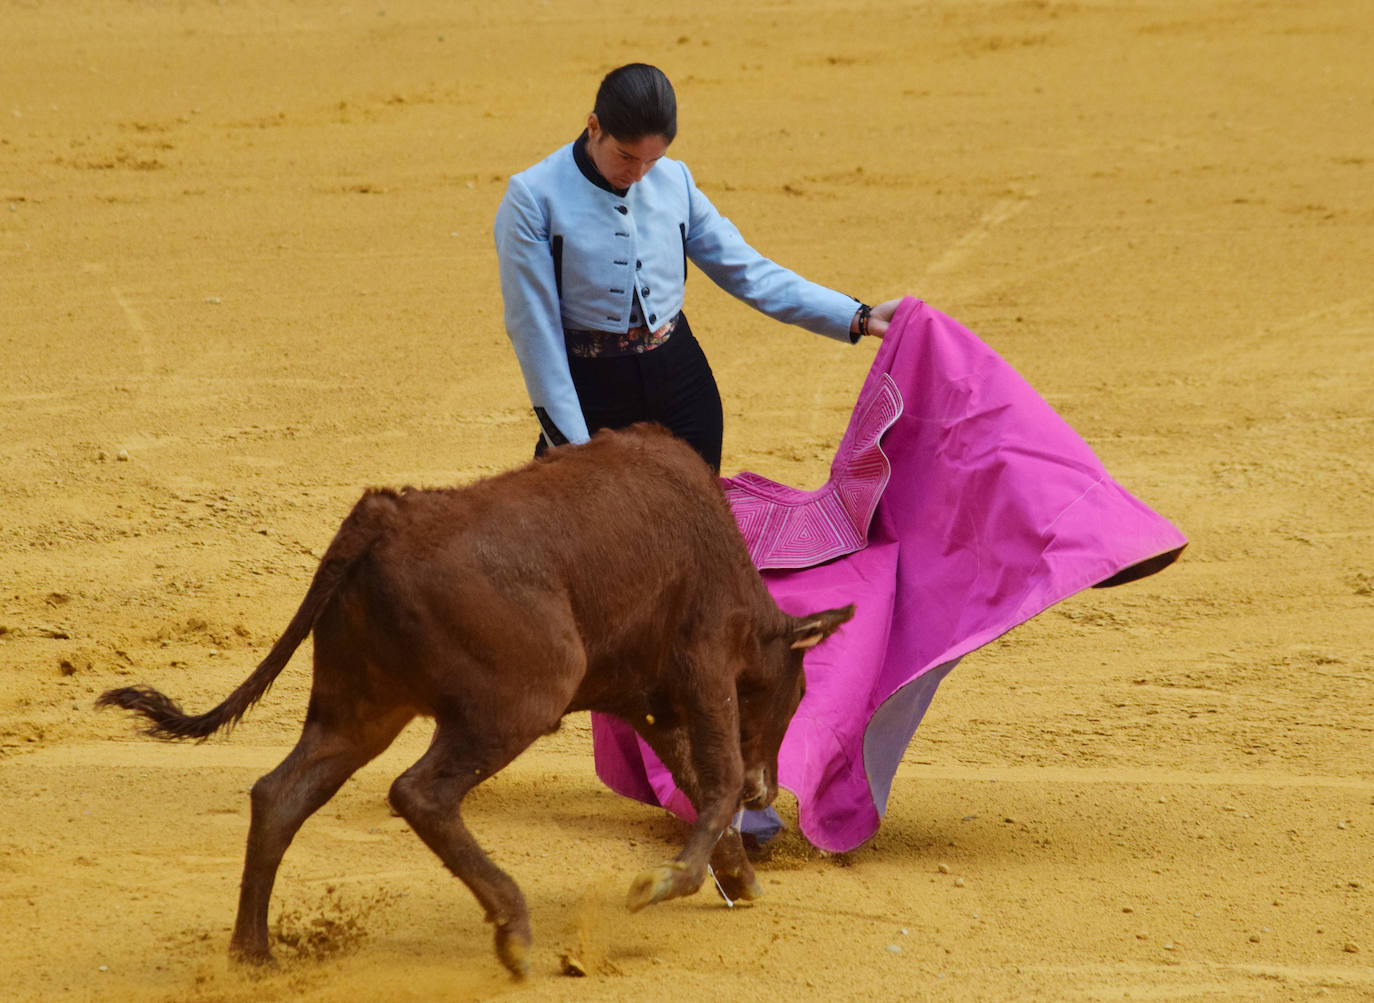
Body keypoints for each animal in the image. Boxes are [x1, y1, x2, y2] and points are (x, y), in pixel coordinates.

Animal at [99, 423, 846, 978]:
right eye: (800, 688)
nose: (768, 788)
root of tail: (382, 517)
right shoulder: (704, 667)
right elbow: (716, 781)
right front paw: (663, 882)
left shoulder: (645, 699)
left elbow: (694, 781)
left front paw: (738, 879)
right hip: (522, 699)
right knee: (419, 792)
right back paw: (513, 930)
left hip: (358, 710)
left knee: (281, 794)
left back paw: (252, 956)